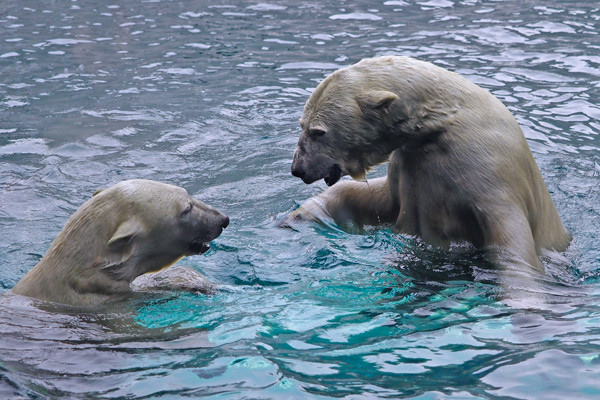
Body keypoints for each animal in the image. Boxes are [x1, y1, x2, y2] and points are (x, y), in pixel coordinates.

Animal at [290, 55, 572, 272]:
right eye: (302, 125)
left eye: (317, 131)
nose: (298, 169)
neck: (442, 122)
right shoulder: (410, 162)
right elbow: (376, 198)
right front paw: (298, 214)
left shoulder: (486, 169)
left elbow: (512, 241)